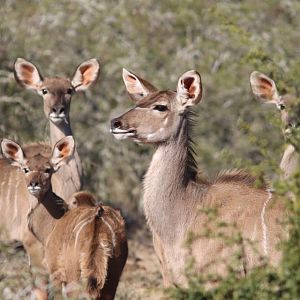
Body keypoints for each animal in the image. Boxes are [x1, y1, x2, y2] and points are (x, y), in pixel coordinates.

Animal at [0, 137, 126, 298]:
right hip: (112, 278)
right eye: (26, 169)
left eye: (48, 169)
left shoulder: (55, 272)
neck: (55, 221)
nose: (34, 184)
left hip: (75, 277)